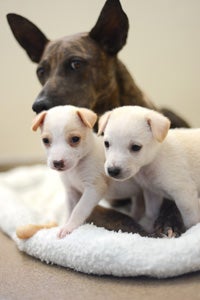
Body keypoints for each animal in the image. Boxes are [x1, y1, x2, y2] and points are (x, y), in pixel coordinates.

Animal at [32, 104, 142, 238]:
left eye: (75, 139)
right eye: (45, 140)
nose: (57, 163)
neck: (76, 167)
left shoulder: (93, 189)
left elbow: (79, 209)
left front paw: (69, 227)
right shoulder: (71, 191)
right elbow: (71, 209)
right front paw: (66, 223)